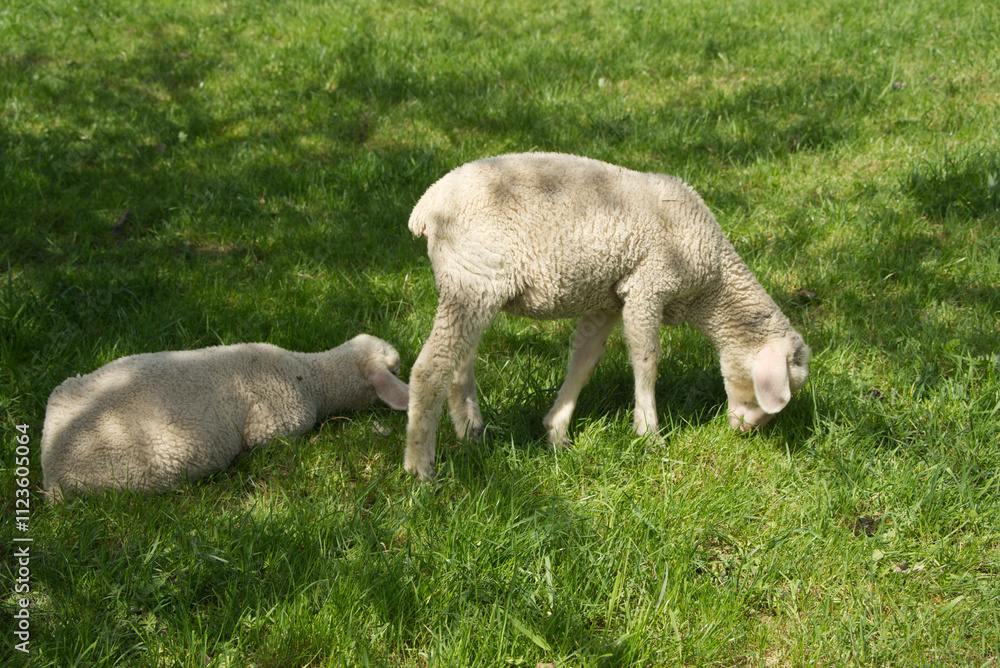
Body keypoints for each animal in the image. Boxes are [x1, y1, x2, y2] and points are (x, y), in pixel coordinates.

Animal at [403, 152, 810, 481]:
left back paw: (471, 432)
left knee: (459, 363)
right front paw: (649, 434)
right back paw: (420, 467)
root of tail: (425, 206)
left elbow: (584, 362)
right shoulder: (648, 286)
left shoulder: (609, 301)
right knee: (429, 369)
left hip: (473, 284)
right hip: (472, 278)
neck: (712, 287)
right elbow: (647, 361)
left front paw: (557, 432)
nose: (746, 433)